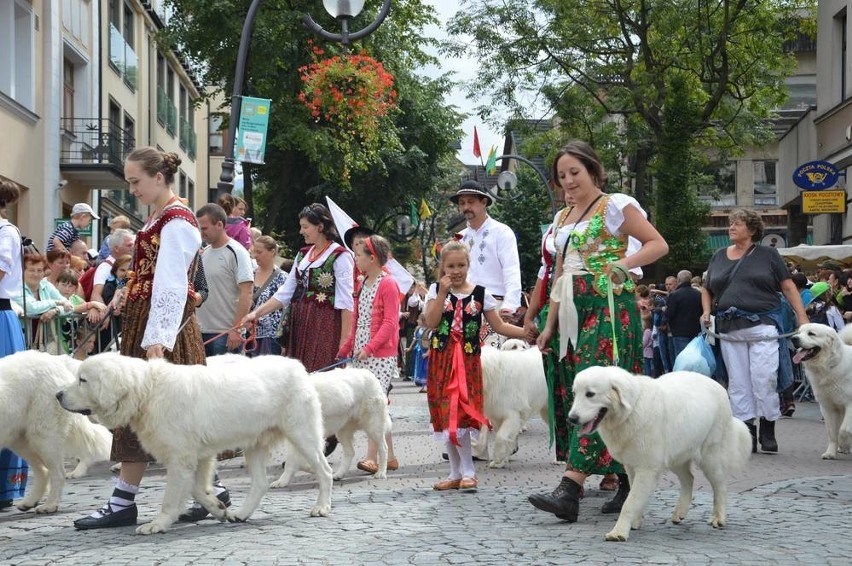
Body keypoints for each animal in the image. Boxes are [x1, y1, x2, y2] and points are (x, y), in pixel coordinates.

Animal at [0, 350, 111, 516]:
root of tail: (56, 360)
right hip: (22, 440)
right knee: (44, 471)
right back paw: (30, 502)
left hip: (44, 437)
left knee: (58, 473)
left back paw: (49, 505)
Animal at [58, 352, 332, 536]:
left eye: (82, 380)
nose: (58, 395)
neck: (148, 391)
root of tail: (297, 366)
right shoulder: (197, 456)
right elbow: (196, 489)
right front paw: (218, 508)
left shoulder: (181, 458)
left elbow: (172, 497)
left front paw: (158, 524)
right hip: (255, 442)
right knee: (261, 483)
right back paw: (241, 514)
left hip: (303, 434)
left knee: (325, 470)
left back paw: (321, 507)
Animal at [476, 340, 548, 468]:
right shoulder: (496, 415)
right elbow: (505, 438)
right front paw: (502, 460)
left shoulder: (513, 414)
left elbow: (500, 437)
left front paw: (498, 459)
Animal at [568, 366, 748, 544]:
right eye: (574, 393)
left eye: (590, 394)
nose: (572, 418)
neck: (631, 410)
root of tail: (719, 386)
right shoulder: (632, 467)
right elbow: (634, 496)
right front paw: (635, 522)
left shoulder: (646, 469)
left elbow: (629, 502)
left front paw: (619, 532)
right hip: (676, 456)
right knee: (689, 479)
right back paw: (680, 513)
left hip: (709, 456)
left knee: (720, 485)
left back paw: (719, 517)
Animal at [788, 324, 852, 462]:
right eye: (799, 332)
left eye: (811, 334)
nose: (794, 338)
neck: (830, 366)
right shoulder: (828, 407)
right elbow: (832, 433)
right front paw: (831, 453)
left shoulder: (850, 404)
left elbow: (843, 430)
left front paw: (844, 444)